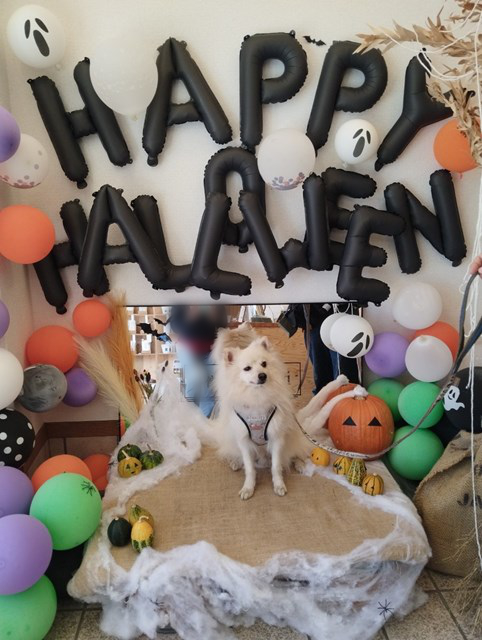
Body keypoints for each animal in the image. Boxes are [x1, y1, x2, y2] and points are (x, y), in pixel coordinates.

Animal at [204, 324, 366, 500]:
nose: (262, 375)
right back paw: (235, 462)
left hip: (291, 438)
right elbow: (250, 468)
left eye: (264, 364)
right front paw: (248, 487)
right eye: (247, 368)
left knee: (293, 453)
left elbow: (276, 466)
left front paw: (279, 485)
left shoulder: (277, 437)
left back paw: (300, 464)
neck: (258, 397)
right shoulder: (244, 441)